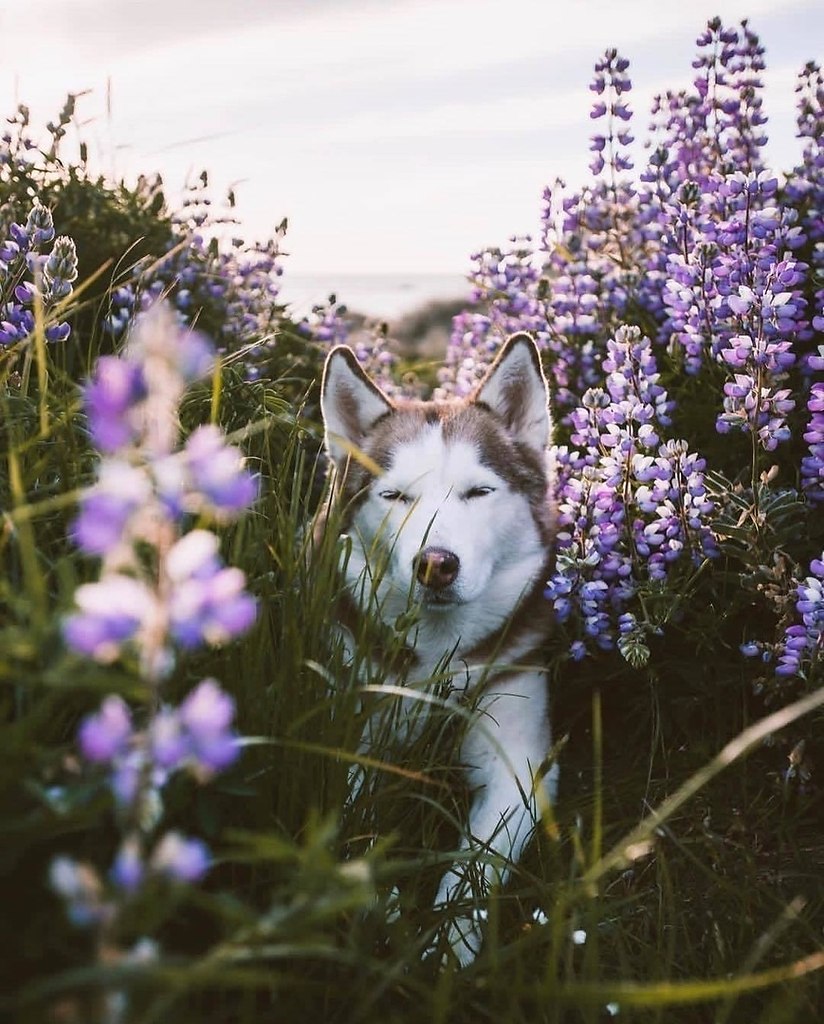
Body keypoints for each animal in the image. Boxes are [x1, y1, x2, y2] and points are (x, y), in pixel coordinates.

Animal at [317, 331, 556, 962]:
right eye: (395, 496)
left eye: (479, 491)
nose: (435, 563)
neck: (434, 655)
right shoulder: (348, 731)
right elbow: (355, 831)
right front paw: (381, 913)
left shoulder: (517, 762)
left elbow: (476, 866)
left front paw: (447, 951)